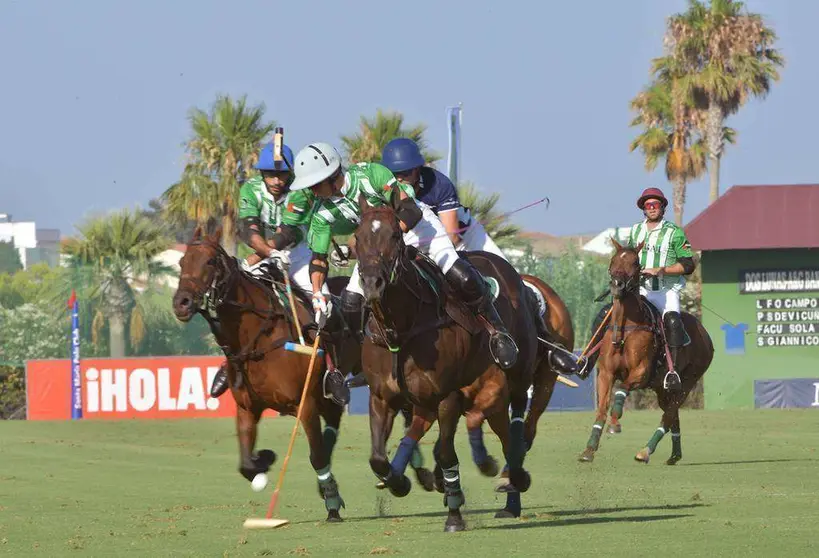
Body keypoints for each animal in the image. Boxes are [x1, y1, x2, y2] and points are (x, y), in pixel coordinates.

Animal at [171, 225, 354, 524]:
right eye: (181, 262)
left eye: (209, 262)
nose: (182, 303)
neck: (258, 337)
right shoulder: (247, 407)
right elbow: (245, 463)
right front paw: (264, 461)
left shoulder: (305, 405)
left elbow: (315, 456)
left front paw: (332, 504)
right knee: (333, 423)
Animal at [350, 195, 540, 536]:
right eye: (357, 237)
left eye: (394, 236)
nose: (372, 283)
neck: (401, 328)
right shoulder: (382, 397)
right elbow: (377, 458)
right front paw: (399, 482)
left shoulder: (446, 395)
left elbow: (445, 452)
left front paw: (453, 514)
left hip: (515, 376)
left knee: (514, 429)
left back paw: (513, 480)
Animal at [576, 238, 712, 466]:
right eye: (613, 260)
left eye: (635, 263)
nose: (617, 285)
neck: (625, 327)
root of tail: (705, 333)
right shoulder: (606, 374)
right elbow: (601, 409)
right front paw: (589, 449)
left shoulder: (641, 373)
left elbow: (621, 389)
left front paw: (616, 421)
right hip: (662, 388)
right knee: (672, 416)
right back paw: (674, 455)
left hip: (687, 382)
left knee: (669, 415)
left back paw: (645, 451)